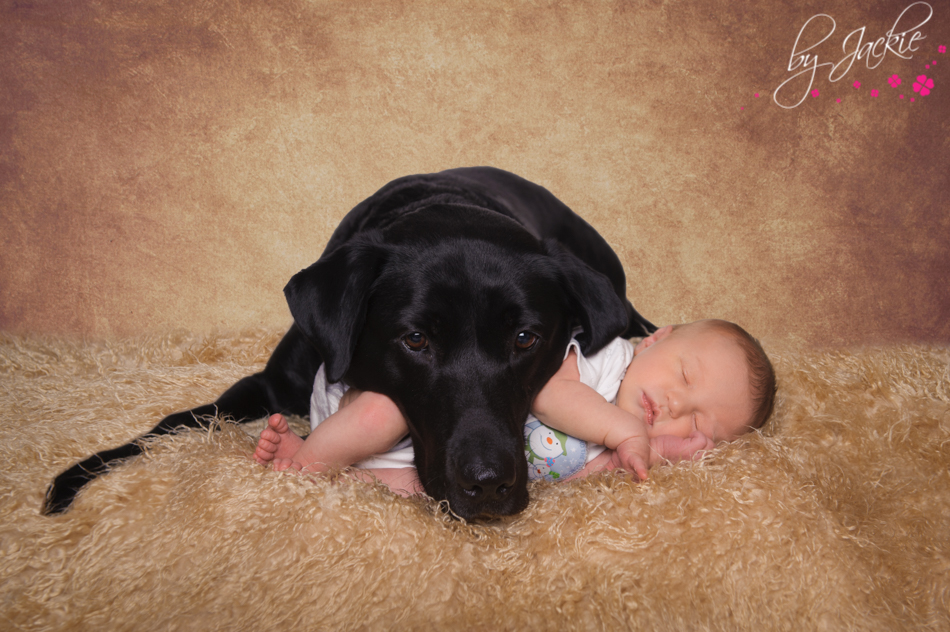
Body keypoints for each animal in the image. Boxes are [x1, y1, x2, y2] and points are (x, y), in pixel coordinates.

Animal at [44, 165, 656, 520]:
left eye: (526, 339)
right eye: (415, 339)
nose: (488, 487)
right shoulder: (268, 384)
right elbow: (172, 423)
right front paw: (77, 477)